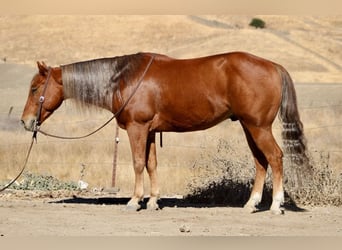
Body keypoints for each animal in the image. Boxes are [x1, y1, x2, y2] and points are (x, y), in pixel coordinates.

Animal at [22, 51, 308, 214]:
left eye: (35, 88)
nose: (26, 122)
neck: (123, 78)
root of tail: (274, 66)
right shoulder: (149, 131)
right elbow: (151, 164)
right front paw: (152, 201)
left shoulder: (137, 128)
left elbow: (138, 163)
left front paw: (135, 201)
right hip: (249, 127)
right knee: (261, 162)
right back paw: (251, 204)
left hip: (258, 127)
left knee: (275, 157)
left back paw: (276, 205)